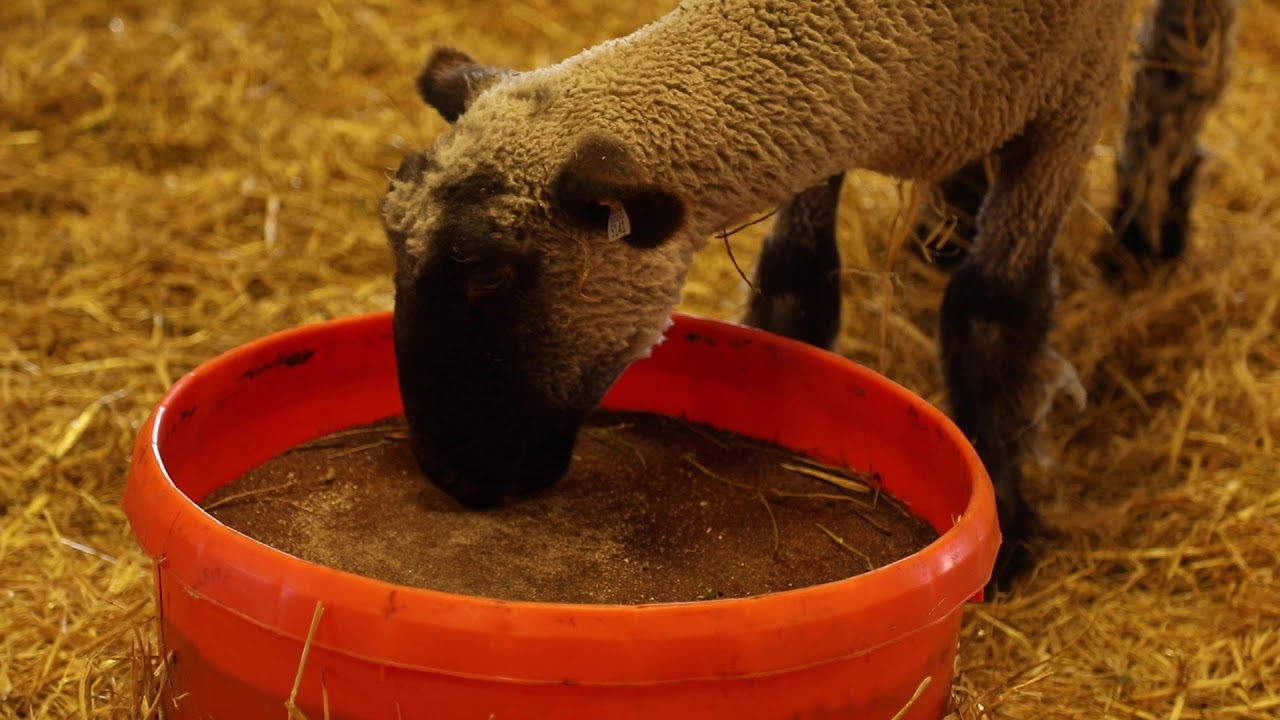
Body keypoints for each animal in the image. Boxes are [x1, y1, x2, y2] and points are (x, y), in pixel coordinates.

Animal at [381, 0, 1238, 591]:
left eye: (491, 274)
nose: (450, 477)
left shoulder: (1074, 95)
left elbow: (993, 309)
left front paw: (1010, 527)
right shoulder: (842, 108)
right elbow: (798, 279)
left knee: (1185, 58)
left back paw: (1146, 235)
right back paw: (952, 219)